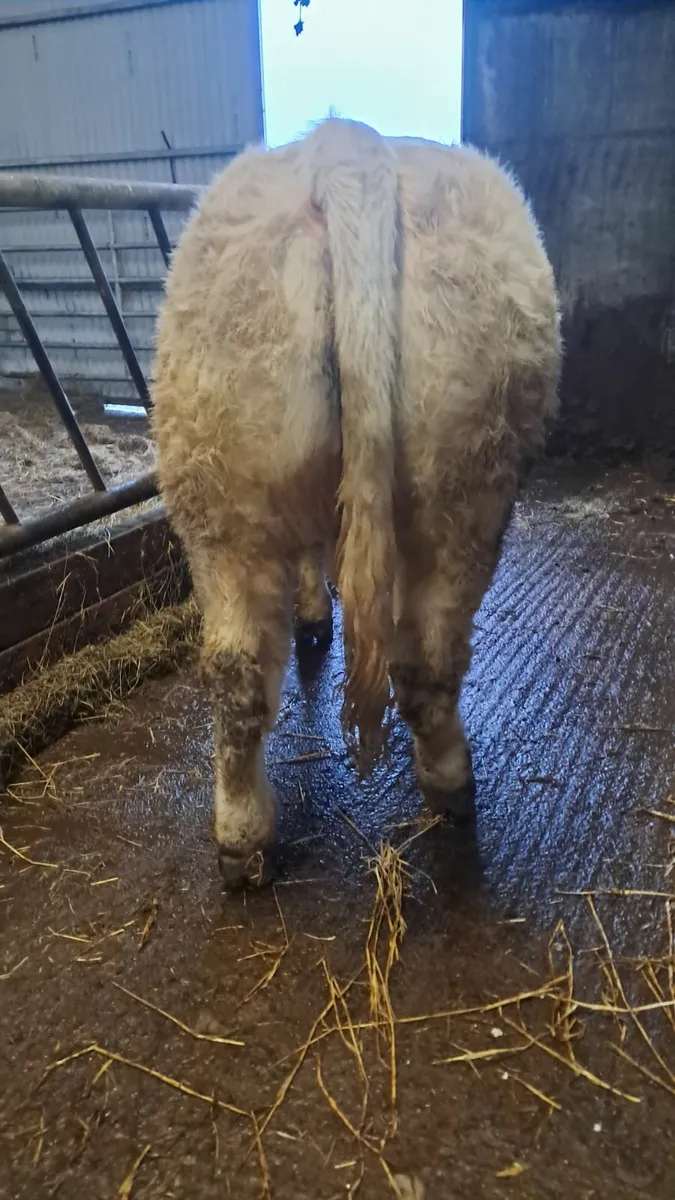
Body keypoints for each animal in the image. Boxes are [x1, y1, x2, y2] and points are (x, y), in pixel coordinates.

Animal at [151, 118, 561, 887]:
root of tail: (346, 148)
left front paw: (314, 613)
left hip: (219, 492)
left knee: (235, 672)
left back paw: (242, 840)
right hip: (467, 491)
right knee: (427, 656)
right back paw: (451, 784)